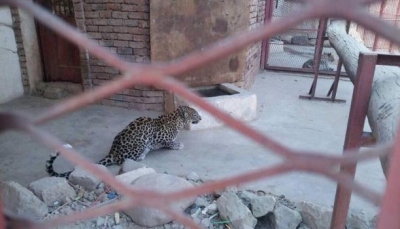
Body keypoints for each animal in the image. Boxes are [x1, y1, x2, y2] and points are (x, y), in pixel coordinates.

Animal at [46, 105, 202, 179]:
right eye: (195, 114)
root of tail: (113, 152)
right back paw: (141, 156)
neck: (177, 119)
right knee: (123, 160)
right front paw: (177, 145)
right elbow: (168, 142)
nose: (200, 118)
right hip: (141, 143)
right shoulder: (158, 136)